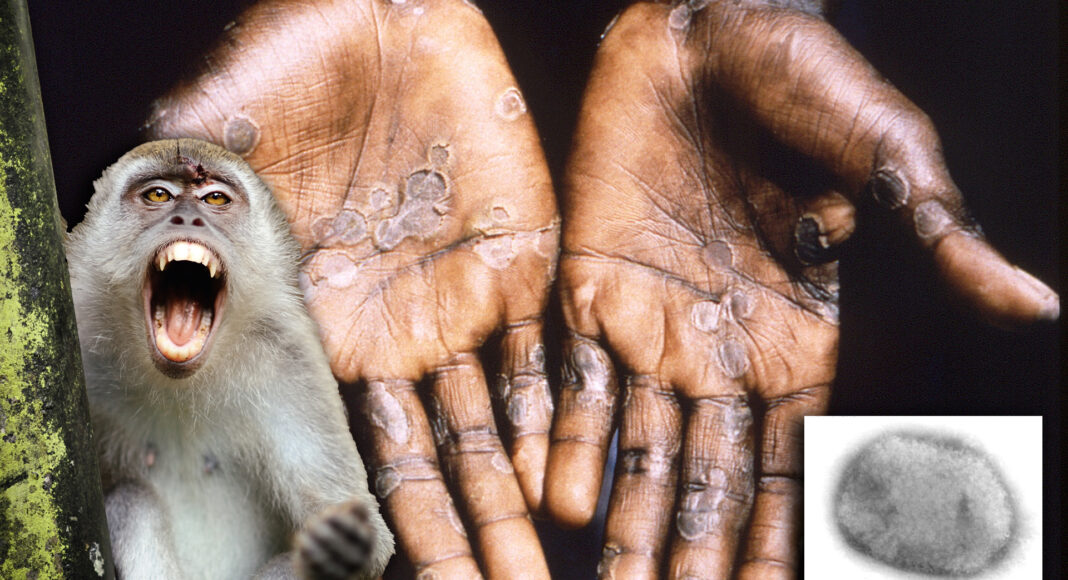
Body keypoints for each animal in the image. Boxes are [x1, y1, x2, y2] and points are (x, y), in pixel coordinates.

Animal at [65, 138, 394, 579]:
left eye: (215, 198)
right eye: (158, 195)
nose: (188, 218)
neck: (176, 383)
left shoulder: (292, 364)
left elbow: (364, 538)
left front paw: (342, 548)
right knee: (133, 501)